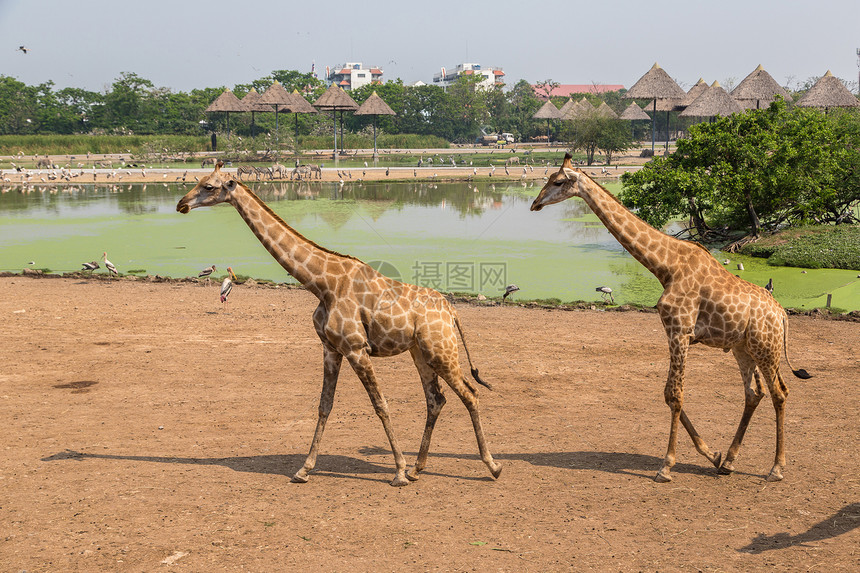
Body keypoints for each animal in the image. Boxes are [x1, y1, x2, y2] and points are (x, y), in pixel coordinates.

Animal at [175, 163, 500, 484]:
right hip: (420, 352)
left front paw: (397, 471)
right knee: (436, 400)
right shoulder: (330, 348)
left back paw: (491, 466)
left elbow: (380, 405)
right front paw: (304, 469)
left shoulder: (357, 348)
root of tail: (451, 311)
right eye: (198, 180)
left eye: (208, 186)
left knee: (470, 394)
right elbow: (324, 405)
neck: (322, 284)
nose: (181, 204)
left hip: (441, 350)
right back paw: (418, 468)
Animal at [528, 153, 808, 482]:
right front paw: (712, 455)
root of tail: (782, 314)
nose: (535, 203)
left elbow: (675, 394)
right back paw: (728, 461)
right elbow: (667, 394)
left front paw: (666, 466)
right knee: (754, 394)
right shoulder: (675, 333)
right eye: (547, 178)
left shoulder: (680, 331)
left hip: (767, 348)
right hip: (743, 349)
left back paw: (776, 468)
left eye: (559, 181)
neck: (666, 266)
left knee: (779, 393)